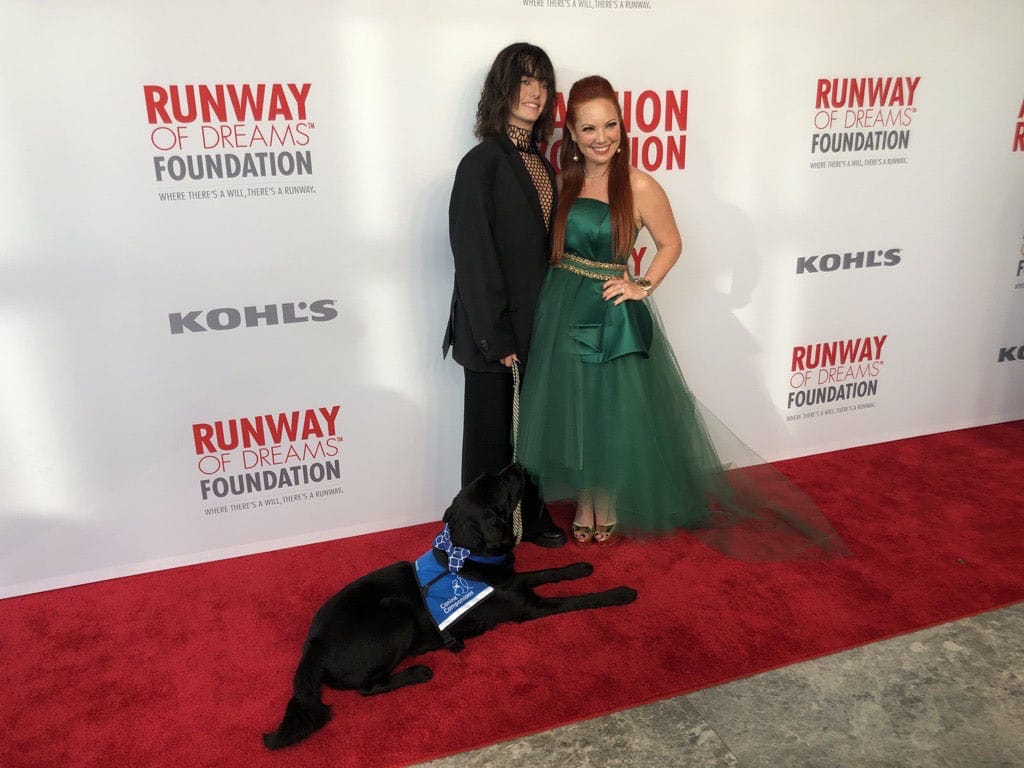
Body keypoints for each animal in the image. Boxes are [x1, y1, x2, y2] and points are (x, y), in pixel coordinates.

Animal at [260, 462, 634, 753]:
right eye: (501, 486)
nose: (517, 464)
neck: (468, 555)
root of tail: (313, 647)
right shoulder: (532, 606)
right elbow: (581, 598)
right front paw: (622, 592)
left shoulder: (514, 582)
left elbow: (550, 572)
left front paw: (580, 567)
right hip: (398, 613)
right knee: (368, 687)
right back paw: (417, 672)